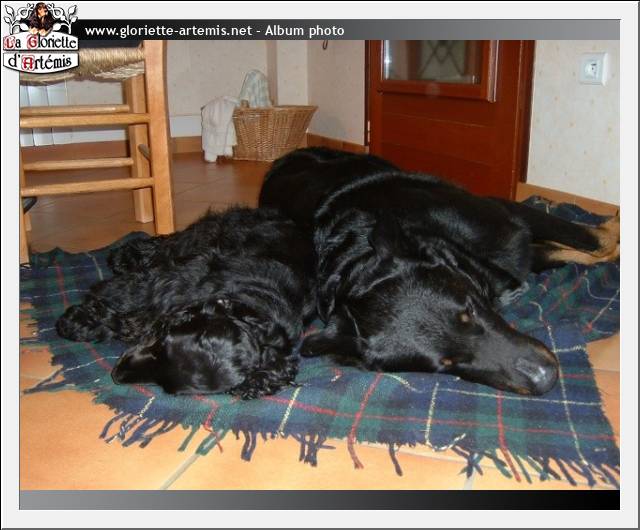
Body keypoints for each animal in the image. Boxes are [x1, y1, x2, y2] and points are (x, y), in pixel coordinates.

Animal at [56, 207, 315, 399]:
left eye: (168, 387)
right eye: (160, 346)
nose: (117, 374)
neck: (254, 305)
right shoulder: (176, 279)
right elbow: (125, 294)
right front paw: (77, 321)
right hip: (204, 234)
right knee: (165, 243)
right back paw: (122, 257)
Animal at [259, 147, 619, 395]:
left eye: (470, 310)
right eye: (447, 364)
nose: (546, 379)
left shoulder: (507, 218)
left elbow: (593, 239)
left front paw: (611, 226)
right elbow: (585, 248)